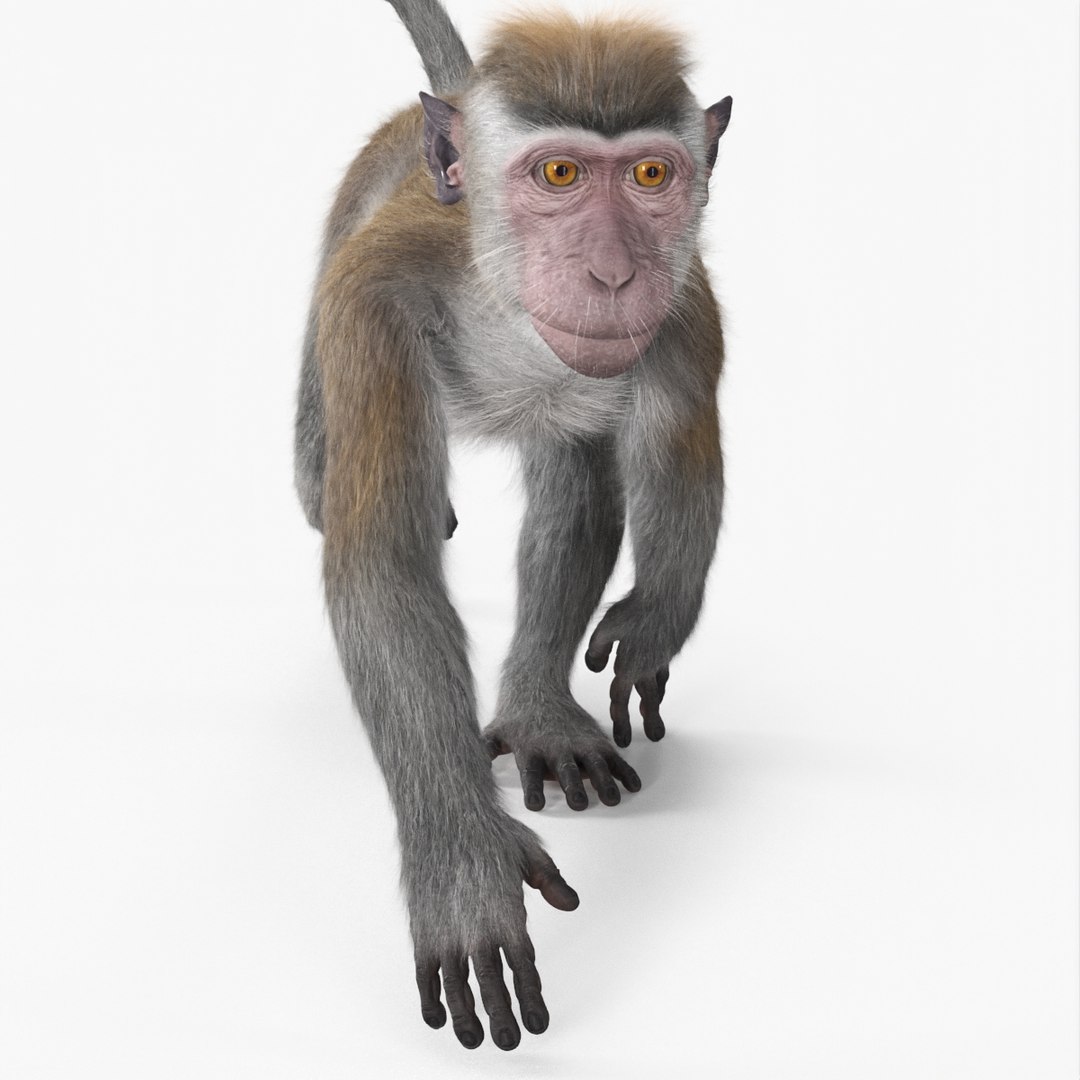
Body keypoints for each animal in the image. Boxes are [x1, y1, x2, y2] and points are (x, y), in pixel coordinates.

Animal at [294, 0, 732, 1051]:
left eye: (651, 175)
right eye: (559, 174)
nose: (610, 272)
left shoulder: (683, 309)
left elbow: (677, 470)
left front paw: (652, 622)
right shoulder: (370, 301)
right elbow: (386, 567)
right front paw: (464, 860)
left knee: (577, 476)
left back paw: (537, 706)